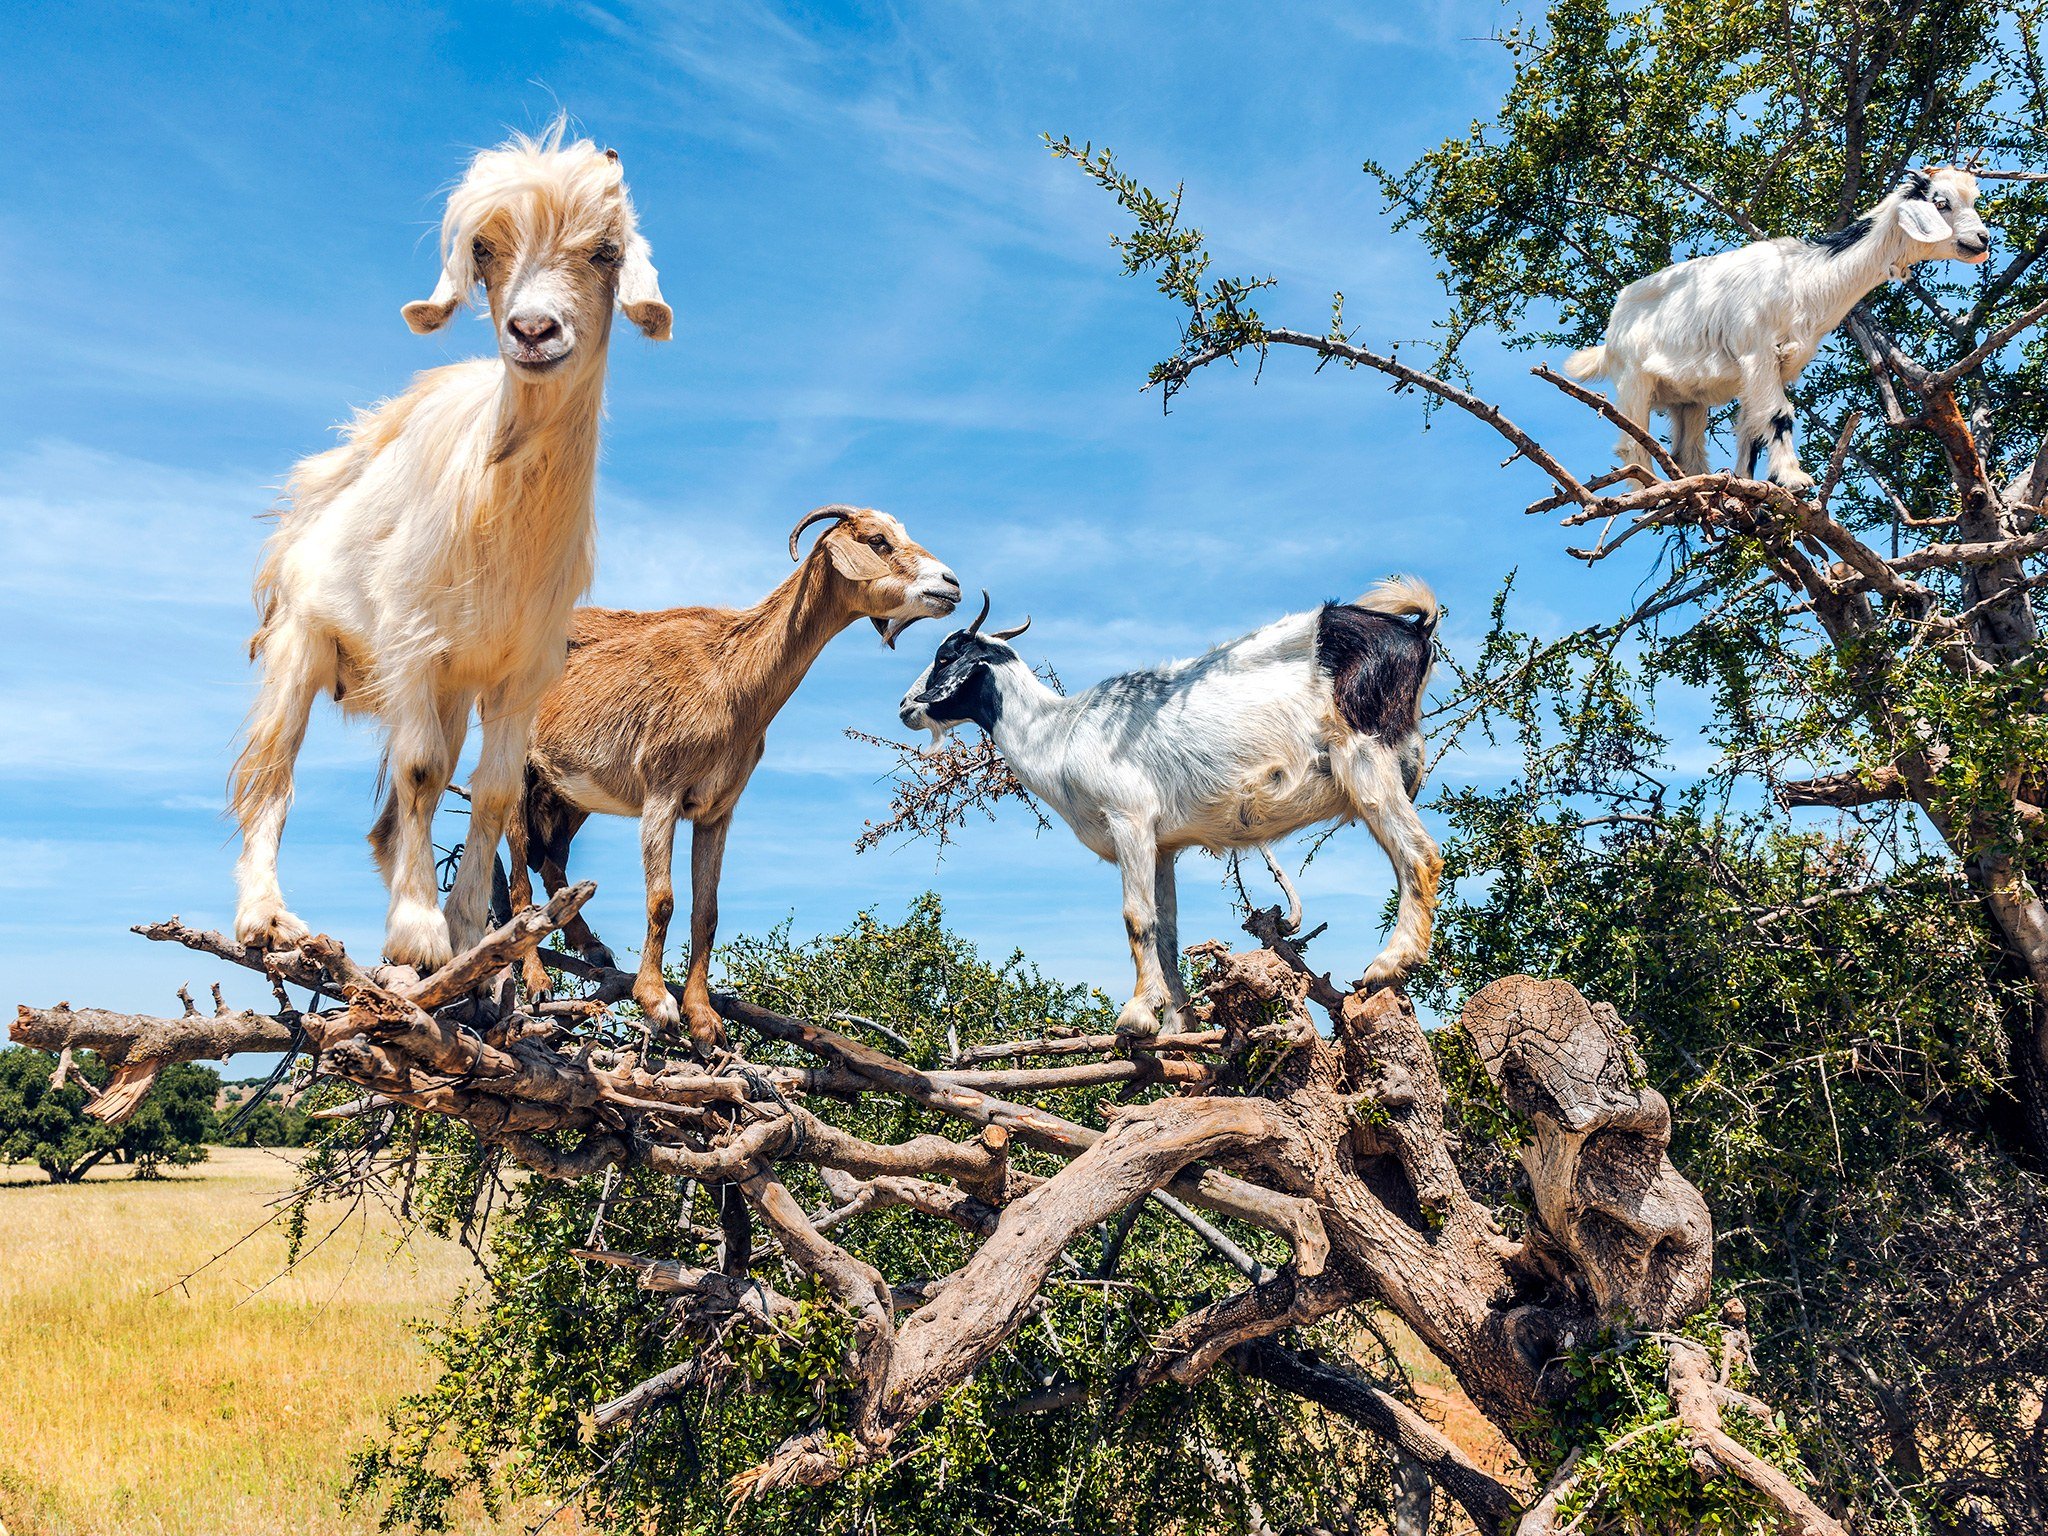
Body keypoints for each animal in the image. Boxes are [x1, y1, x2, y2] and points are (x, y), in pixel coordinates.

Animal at [234, 126, 671, 966]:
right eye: (483, 249)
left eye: (605, 251)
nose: (533, 331)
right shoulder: (412, 644)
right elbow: (422, 769)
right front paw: (416, 934)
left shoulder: (520, 670)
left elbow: (494, 792)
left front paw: (468, 930)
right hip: (301, 643)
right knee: (270, 774)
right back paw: (266, 918)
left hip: (454, 689)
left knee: (385, 819)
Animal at [507, 512, 962, 1056]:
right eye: (878, 540)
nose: (951, 584)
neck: (730, 673)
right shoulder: (662, 793)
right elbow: (663, 901)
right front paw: (656, 1002)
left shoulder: (717, 809)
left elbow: (707, 912)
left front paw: (703, 1020)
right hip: (513, 771)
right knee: (516, 871)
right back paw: (535, 980)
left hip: (568, 792)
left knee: (551, 862)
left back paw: (593, 948)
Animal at [897, 581, 1441, 1040]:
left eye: (946, 655)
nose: (905, 707)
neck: (1059, 732)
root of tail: (1415, 631)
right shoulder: (1162, 845)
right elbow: (1166, 928)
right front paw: (1177, 1024)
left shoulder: (1128, 819)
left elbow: (1136, 917)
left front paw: (1137, 1016)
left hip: (1366, 755)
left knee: (1418, 853)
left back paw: (1390, 964)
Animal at [1564, 165, 1982, 487]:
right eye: (1941, 203)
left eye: (1973, 200)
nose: (1982, 239)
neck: (1802, 279)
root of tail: (1612, 329)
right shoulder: (1758, 352)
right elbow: (1779, 415)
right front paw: (1794, 480)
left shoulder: (1775, 367)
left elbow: (1753, 428)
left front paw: (1753, 485)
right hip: (1632, 379)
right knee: (1632, 442)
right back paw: (1650, 493)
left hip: (1688, 397)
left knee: (1685, 449)